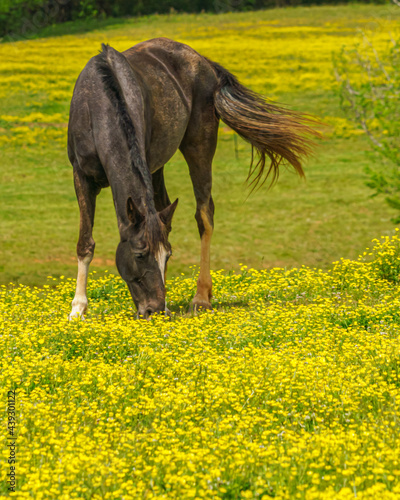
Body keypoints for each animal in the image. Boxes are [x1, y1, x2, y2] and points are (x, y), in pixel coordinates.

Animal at [68, 39, 318, 320]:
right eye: (140, 255)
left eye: (168, 256)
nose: (155, 309)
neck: (99, 104)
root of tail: (203, 61)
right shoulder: (82, 177)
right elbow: (85, 242)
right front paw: (77, 309)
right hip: (158, 168)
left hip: (199, 146)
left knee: (204, 215)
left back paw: (201, 297)